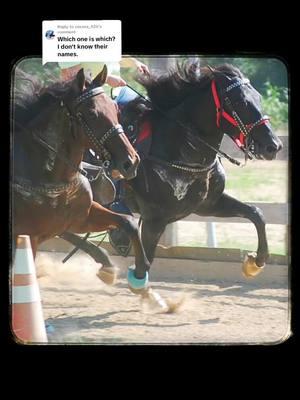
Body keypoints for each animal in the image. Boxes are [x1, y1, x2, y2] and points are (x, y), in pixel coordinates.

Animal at [11, 65, 150, 284]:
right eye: (91, 114)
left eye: (114, 109)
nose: (131, 162)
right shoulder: (28, 237)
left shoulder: (81, 217)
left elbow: (129, 223)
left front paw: (140, 274)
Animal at [64, 61, 282, 284]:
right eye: (240, 101)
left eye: (258, 97)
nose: (273, 146)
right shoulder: (154, 220)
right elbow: (145, 264)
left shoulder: (208, 204)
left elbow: (255, 213)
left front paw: (255, 263)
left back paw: (106, 262)